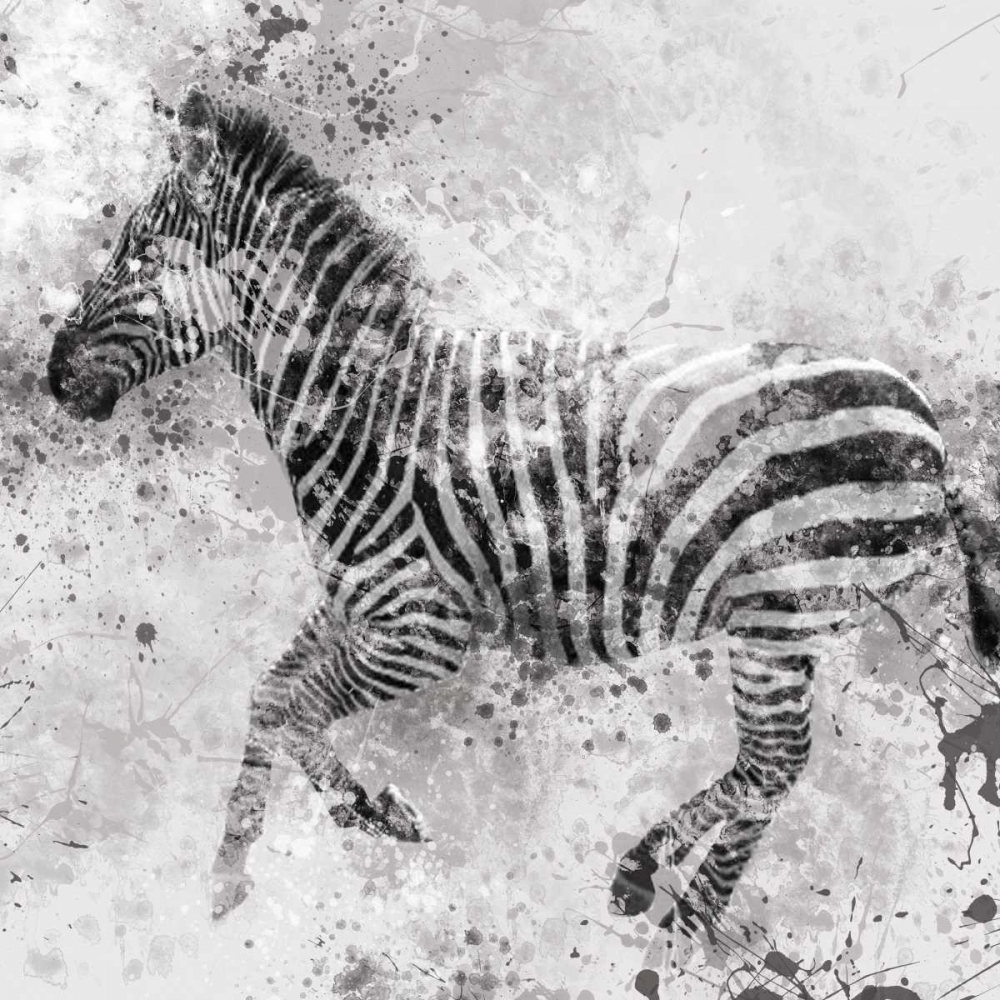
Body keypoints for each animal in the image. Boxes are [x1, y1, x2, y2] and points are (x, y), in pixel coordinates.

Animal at [46, 85, 1000, 932]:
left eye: (138, 255)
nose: (53, 376)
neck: (362, 403)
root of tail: (927, 426)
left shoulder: (423, 631)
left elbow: (297, 707)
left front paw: (344, 819)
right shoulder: (356, 602)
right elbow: (271, 696)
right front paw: (239, 876)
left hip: (780, 613)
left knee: (773, 765)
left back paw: (672, 905)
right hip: (791, 625)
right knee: (772, 766)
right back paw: (674, 900)